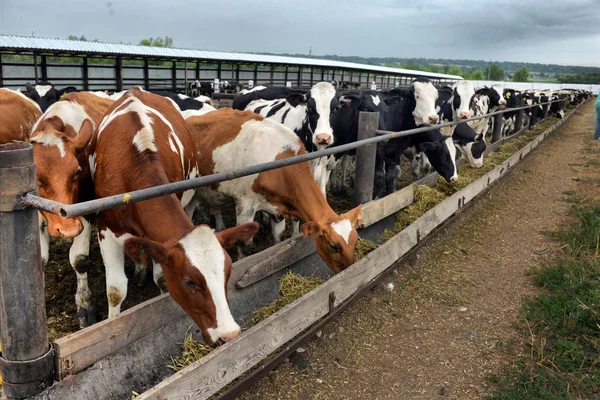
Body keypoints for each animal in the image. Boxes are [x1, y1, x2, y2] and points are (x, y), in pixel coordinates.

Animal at [30, 91, 115, 328]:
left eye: (77, 171)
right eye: (36, 178)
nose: (66, 229)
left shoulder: (85, 210)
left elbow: (79, 259)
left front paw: (85, 306)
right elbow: (40, 260)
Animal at [91, 89, 258, 346]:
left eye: (228, 272)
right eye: (190, 282)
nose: (228, 334)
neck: (134, 167)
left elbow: (161, 278)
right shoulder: (106, 229)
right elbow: (115, 290)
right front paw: (112, 324)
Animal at [185, 108, 360, 274]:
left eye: (356, 239)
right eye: (333, 246)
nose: (350, 268)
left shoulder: (278, 208)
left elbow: (279, 238)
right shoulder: (245, 204)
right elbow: (244, 245)